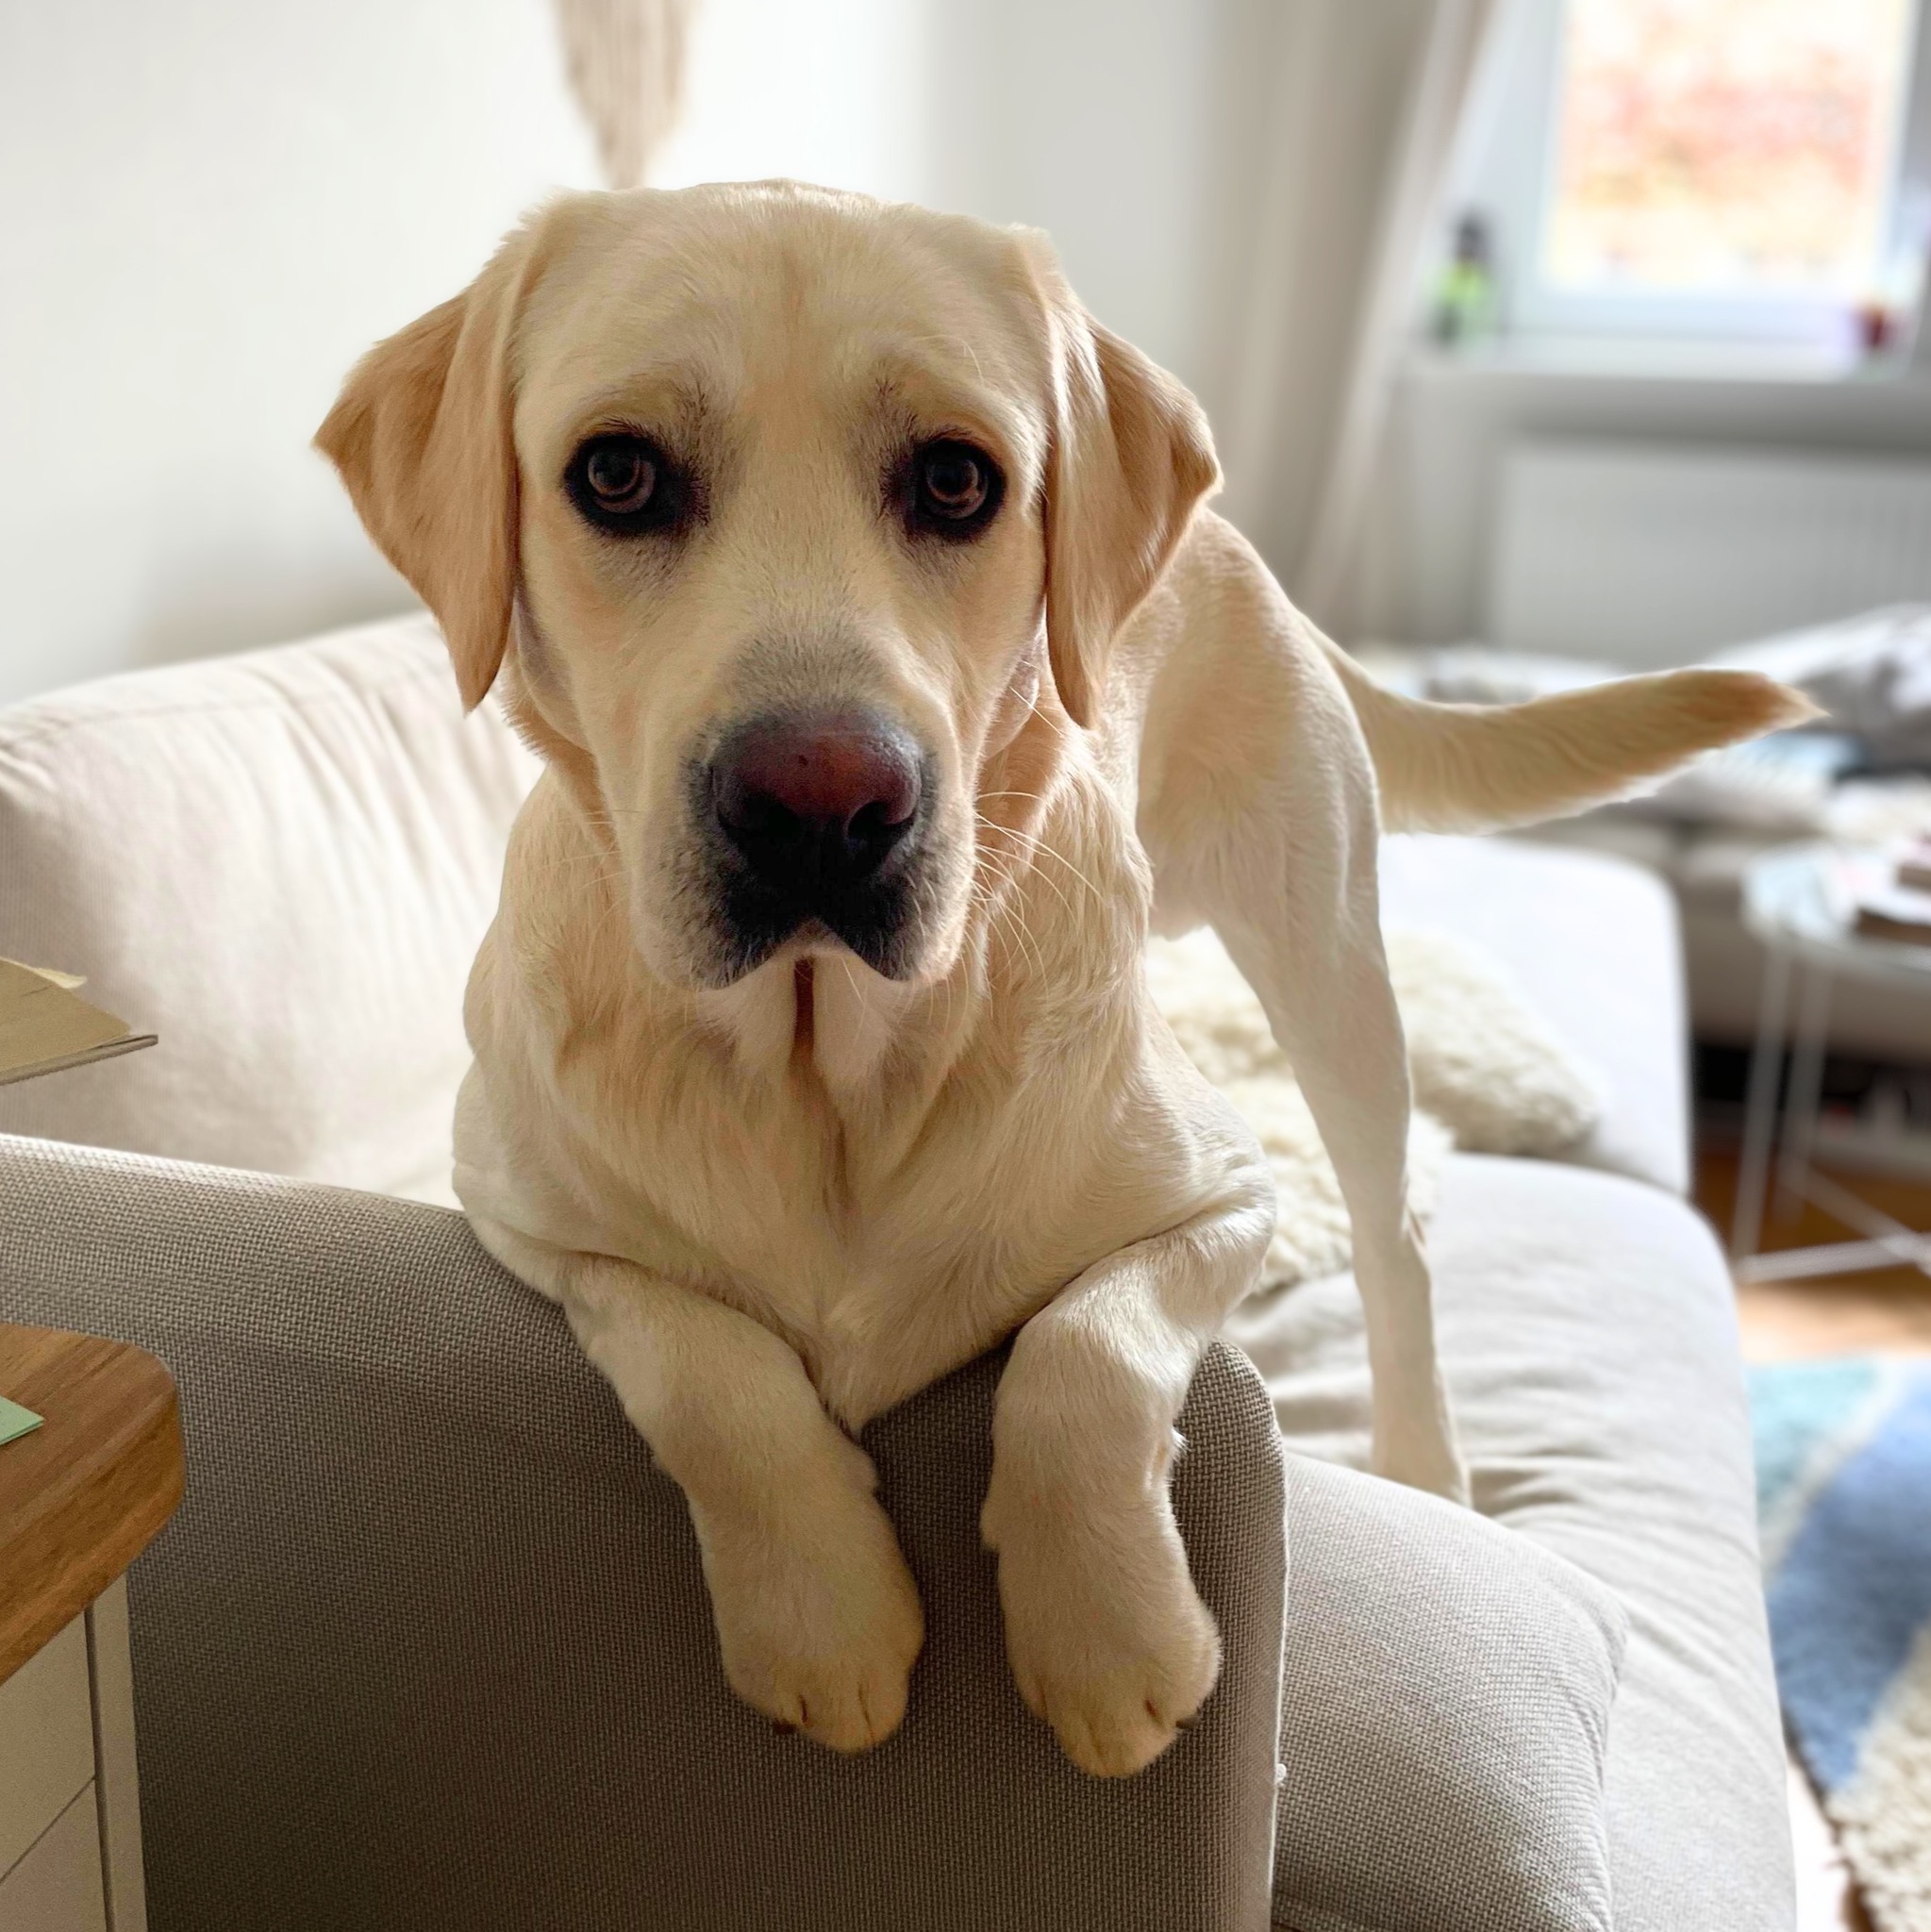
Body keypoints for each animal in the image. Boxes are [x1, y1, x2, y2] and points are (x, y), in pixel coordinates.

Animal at [319, 180, 1808, 1778]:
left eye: (955, 482)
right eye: (614, 473)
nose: (820, 805)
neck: (824, 1068)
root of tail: (1236, 546)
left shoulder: (1221, 1191)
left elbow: (1077, 1356)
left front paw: (1111, 1640)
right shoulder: (523, 1215)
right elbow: (701, 1360)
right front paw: (822, 1619)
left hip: (1328, 965)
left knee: (1391, 1228)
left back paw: (1421, 1460)